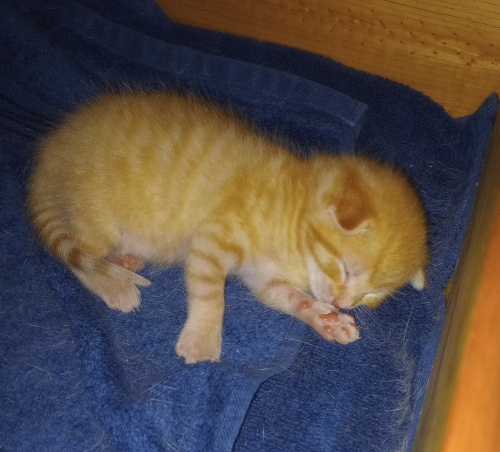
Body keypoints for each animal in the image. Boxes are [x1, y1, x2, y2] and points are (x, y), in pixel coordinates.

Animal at [28, 91, 426, 364]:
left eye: (370, 295)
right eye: (345, 268)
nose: (343, 303)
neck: (293, 210)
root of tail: (54, 148)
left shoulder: (265, 280)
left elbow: (293, 299)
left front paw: (324, 318)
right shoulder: (212, 239)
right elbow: (211, 295)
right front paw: (202, 339)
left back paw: (125, 261)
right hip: (96, 216)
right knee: (79, 259)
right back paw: (114, 284)